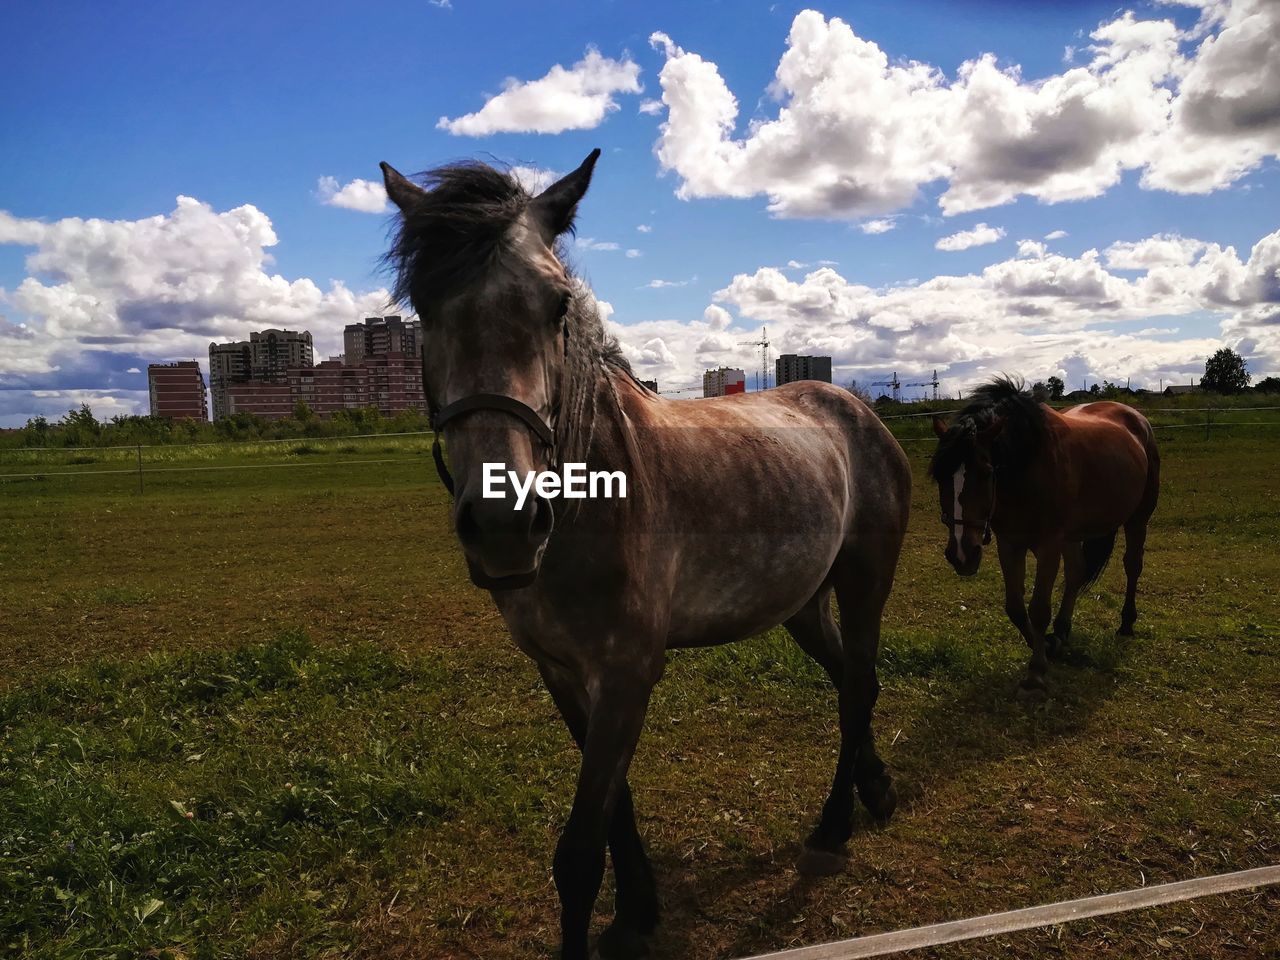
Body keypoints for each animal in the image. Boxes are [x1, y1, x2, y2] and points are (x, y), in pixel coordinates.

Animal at [378, 150, 911, 960]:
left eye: (557, 306)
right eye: (423, 309)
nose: (504, 521)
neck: (591, 497)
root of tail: (856, 409)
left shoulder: (628, 672)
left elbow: (577, 852)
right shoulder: (566, 673)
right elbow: (614, 811)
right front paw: (638, 909)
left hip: (863, 584)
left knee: (856, 689)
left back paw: (832, 829)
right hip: (802, 604)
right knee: (856, 681)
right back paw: (874, 790)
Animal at [931, 378, 1162, 701]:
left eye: (987, 472)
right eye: (940, 477)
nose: (962, 555)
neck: (1027, 466)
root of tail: (1137, 418)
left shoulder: (1048, 546)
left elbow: (1038, 609)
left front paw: (1036, 673)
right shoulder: (1010, 544)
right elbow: (1015, 607)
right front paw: (1048, 646)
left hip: (1137, 518)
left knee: (1132, 566)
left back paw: (1126, 623)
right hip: (1072, 535)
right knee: (1076, 572)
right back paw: (1062, 630)